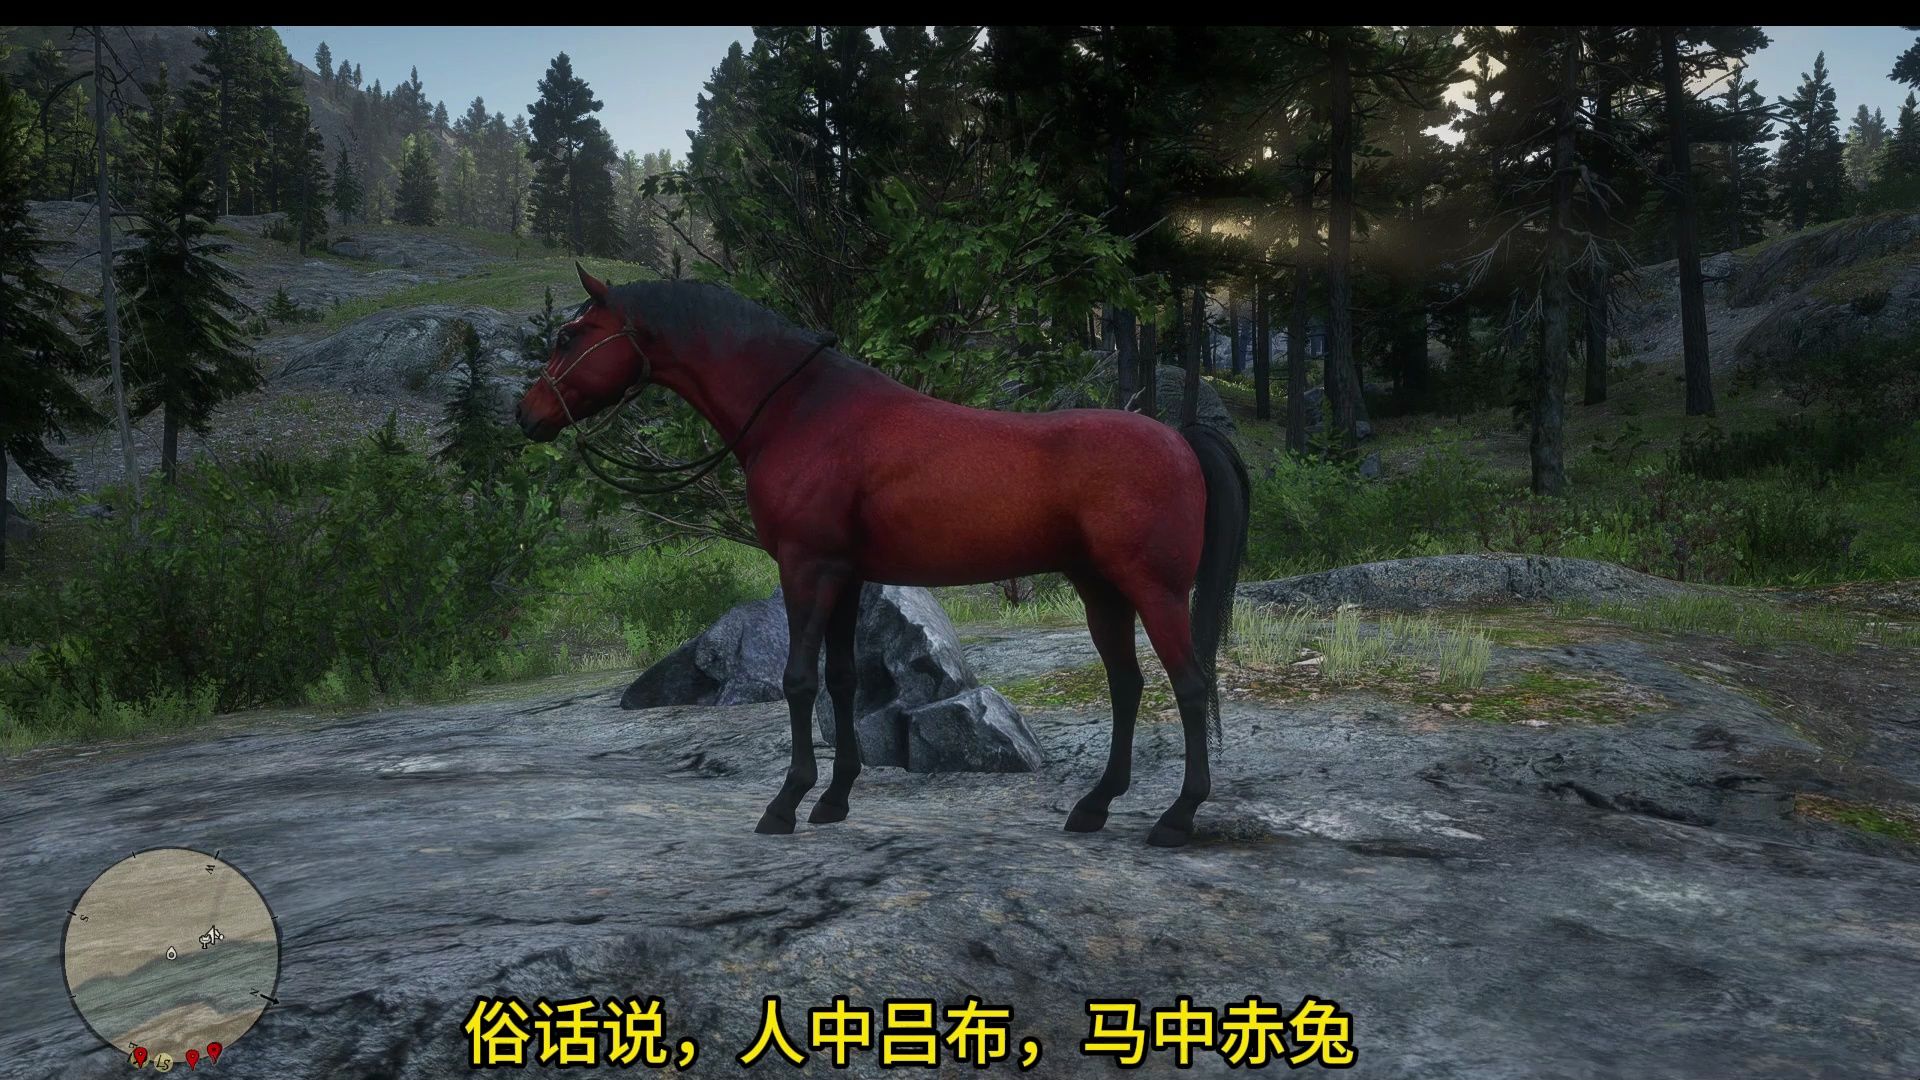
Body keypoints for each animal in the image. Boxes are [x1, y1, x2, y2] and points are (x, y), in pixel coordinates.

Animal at [518, 267, 1250, 847]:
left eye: (569, 338)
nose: (527, 415)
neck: (802, 411)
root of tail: (1179, 437)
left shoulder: (806, 568)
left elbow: (798, 681)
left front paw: (785, 803)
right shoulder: (845, 578)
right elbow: (840, 682)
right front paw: (834, 799)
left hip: (1153, 590)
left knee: (1189, 685)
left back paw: (1178, 816)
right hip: (1102, 591)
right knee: (1128, 686)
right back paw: (1094, 806)